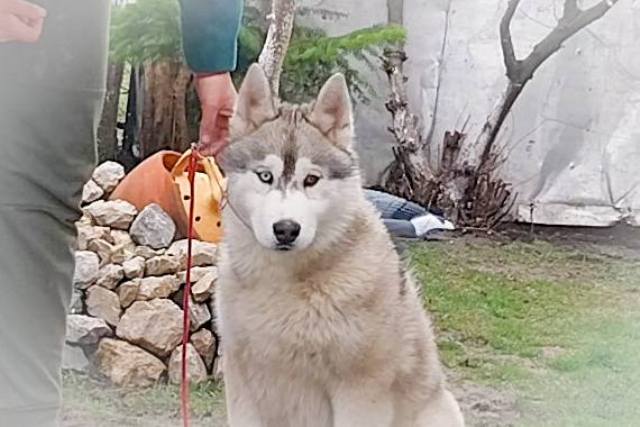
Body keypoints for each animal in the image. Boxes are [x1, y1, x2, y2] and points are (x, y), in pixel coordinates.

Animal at [215, 63, 464, 427]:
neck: (285, 284)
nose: (286, 230)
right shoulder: (241, 382)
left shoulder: (359, 390)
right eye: (265, 176)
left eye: (311, 179)